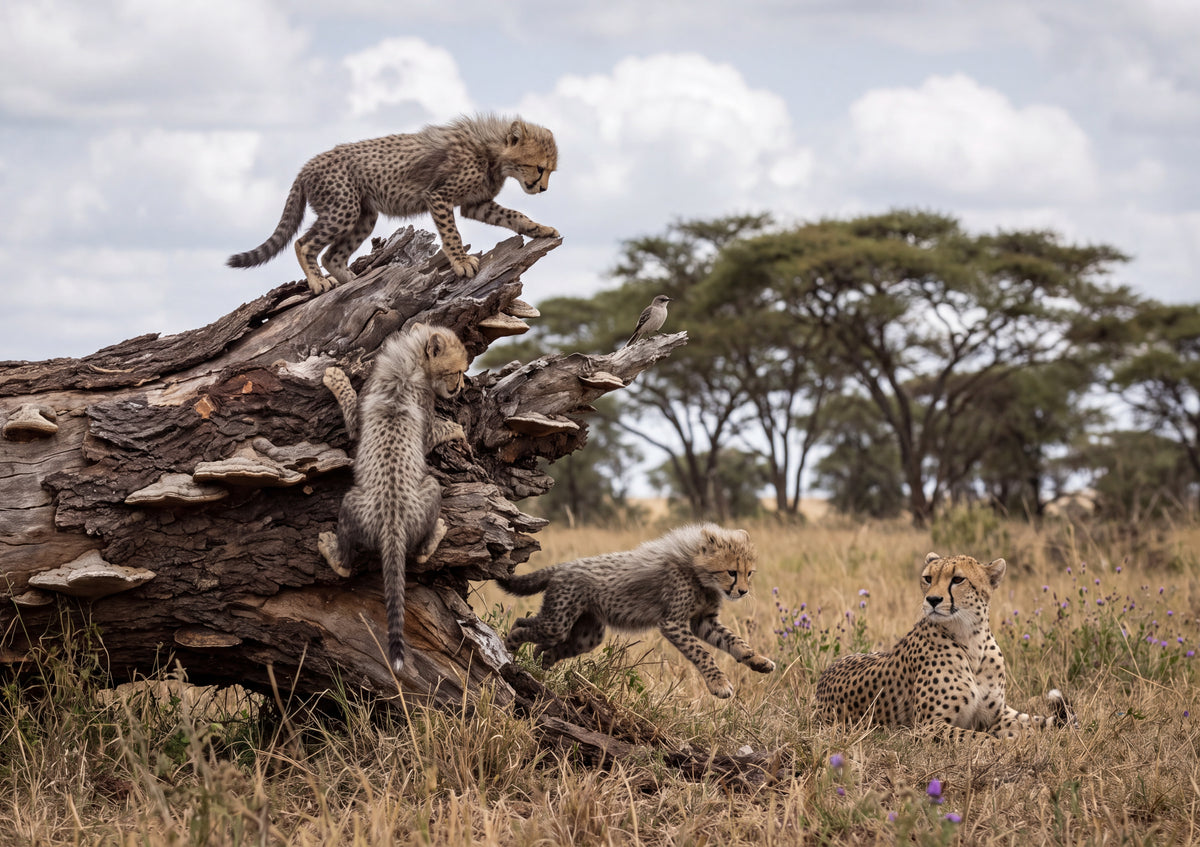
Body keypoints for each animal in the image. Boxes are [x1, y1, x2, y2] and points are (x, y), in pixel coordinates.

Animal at [227, 114, 559, 294]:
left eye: (549, 171)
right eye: (539, 168)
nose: (543, 189)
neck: (493, 151)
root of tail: (307, 165)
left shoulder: (475, 204)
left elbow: (514, 215)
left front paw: (540, 229)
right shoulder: (439, 197)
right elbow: (452, 234)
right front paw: (461, 262)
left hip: (364, 215)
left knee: (333, 255)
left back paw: (353, 282)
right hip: (343, 208)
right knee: (304, 243)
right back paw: (319, 282)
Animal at [317, 323, 469, 673]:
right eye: (457, 370)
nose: (458, 389)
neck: (409, 363)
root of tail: (392, 526)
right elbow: (440, 429)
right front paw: (337, 377)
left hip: (359, 500)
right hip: (410, 492)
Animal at [498, 523, 776, 698]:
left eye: (749, 573)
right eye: (731, 572)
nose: (743, 592)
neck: (699, 572)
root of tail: (564, 565)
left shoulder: (703, 621)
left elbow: (735, 641)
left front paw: (758, 661)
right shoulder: (673, 623)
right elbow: (703, 653)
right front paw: (719, 684)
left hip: (588, 635)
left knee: (545, 645)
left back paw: (541, 665)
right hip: (558, 623)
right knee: (520, 623)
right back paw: (508, 649)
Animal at [815, 552, 1075, 741]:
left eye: (958, 579)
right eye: (928, 578)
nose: (932, 600)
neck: (972, 640)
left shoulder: (995, 715)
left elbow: (1029, 724)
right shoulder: (928, 727)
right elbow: (979, 738)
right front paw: (1011, 744)